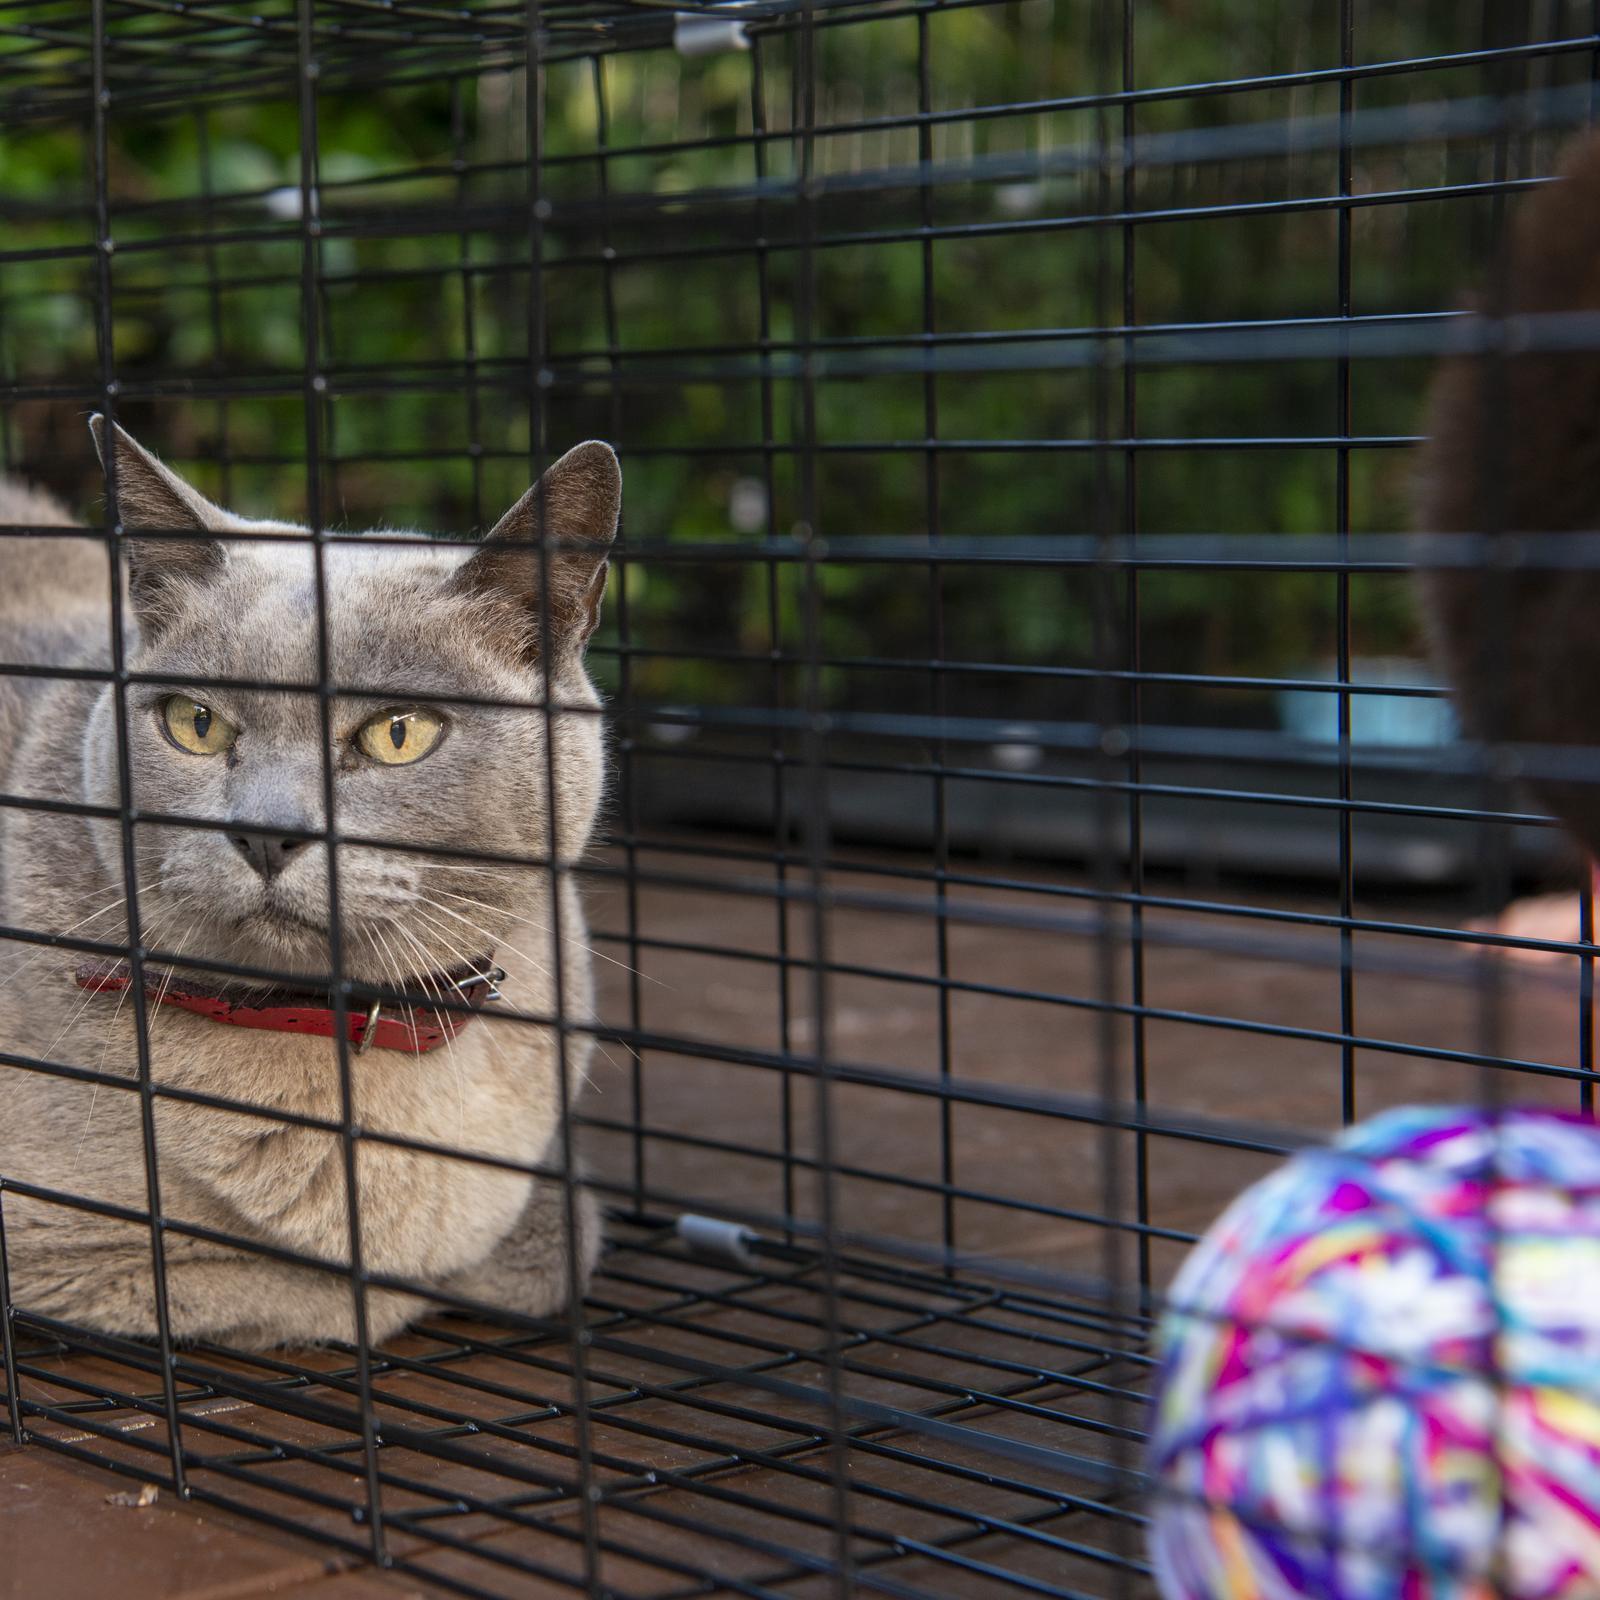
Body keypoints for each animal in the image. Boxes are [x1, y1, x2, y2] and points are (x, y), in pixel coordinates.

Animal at [0, 419, 611, 1344]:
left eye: (399, 734)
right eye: (196, 724)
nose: (267, 833)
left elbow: (555, 1234)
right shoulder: (70, 1253)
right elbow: (359, 1289)